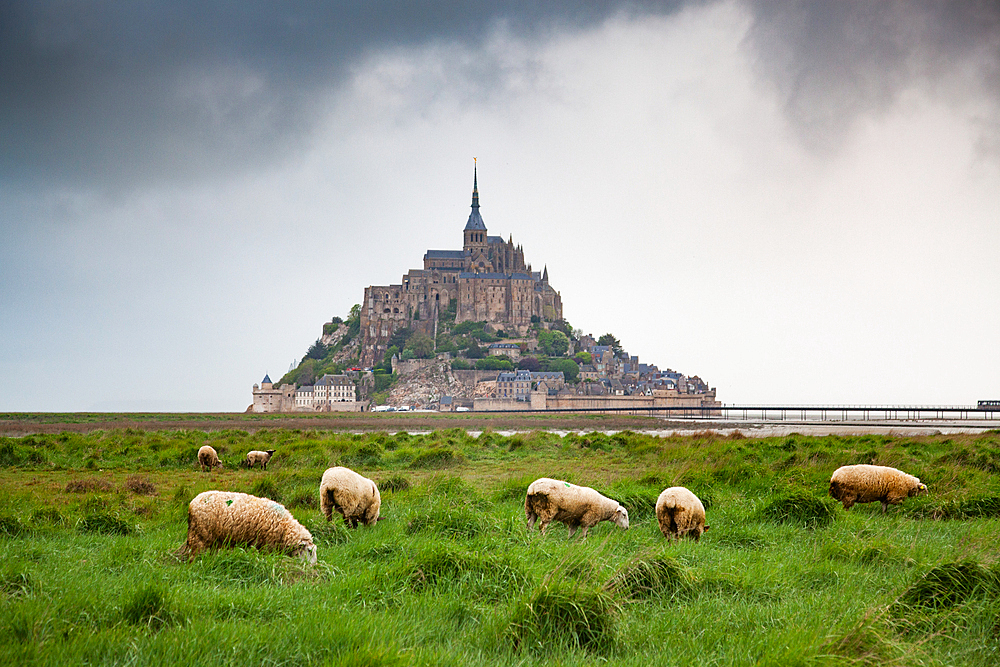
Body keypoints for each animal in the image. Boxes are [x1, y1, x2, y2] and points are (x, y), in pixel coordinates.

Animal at [178, 490, 314, 564]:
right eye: (309, 551)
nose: (312, 567)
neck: (285, 528)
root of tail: (193, 502)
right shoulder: (264, 545)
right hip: (199, 535)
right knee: (194, 554)